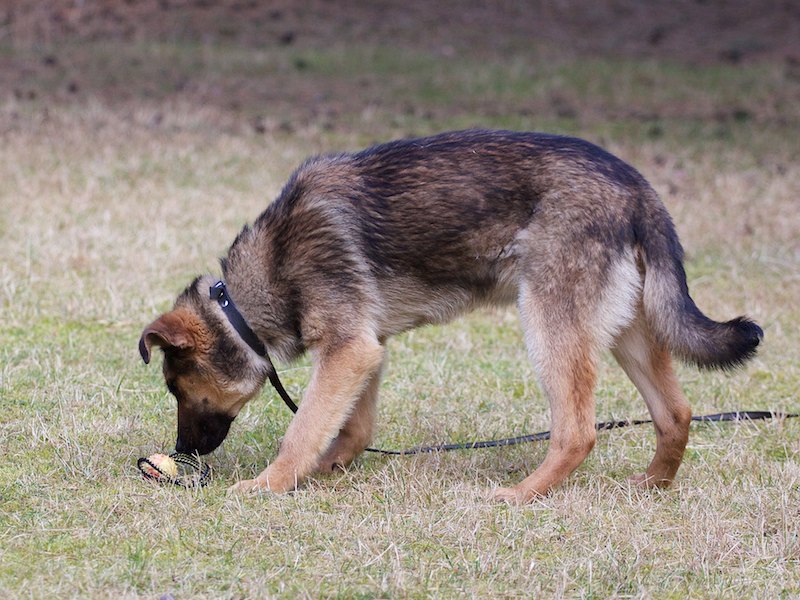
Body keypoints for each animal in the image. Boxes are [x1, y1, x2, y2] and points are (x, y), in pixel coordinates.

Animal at [139, 129, 762, 504]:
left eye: (178, 388)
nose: (183, 454)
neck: (244, 300)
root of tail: (637, 189)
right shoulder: (364, 350)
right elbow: (350, 428)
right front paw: (324, 470)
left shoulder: (347, 350)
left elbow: (302, 429)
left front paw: (269, 484)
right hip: (626, 330)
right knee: (676, 412)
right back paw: (652, 485)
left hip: (549, 325)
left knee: (578, 431)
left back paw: (522, 495)